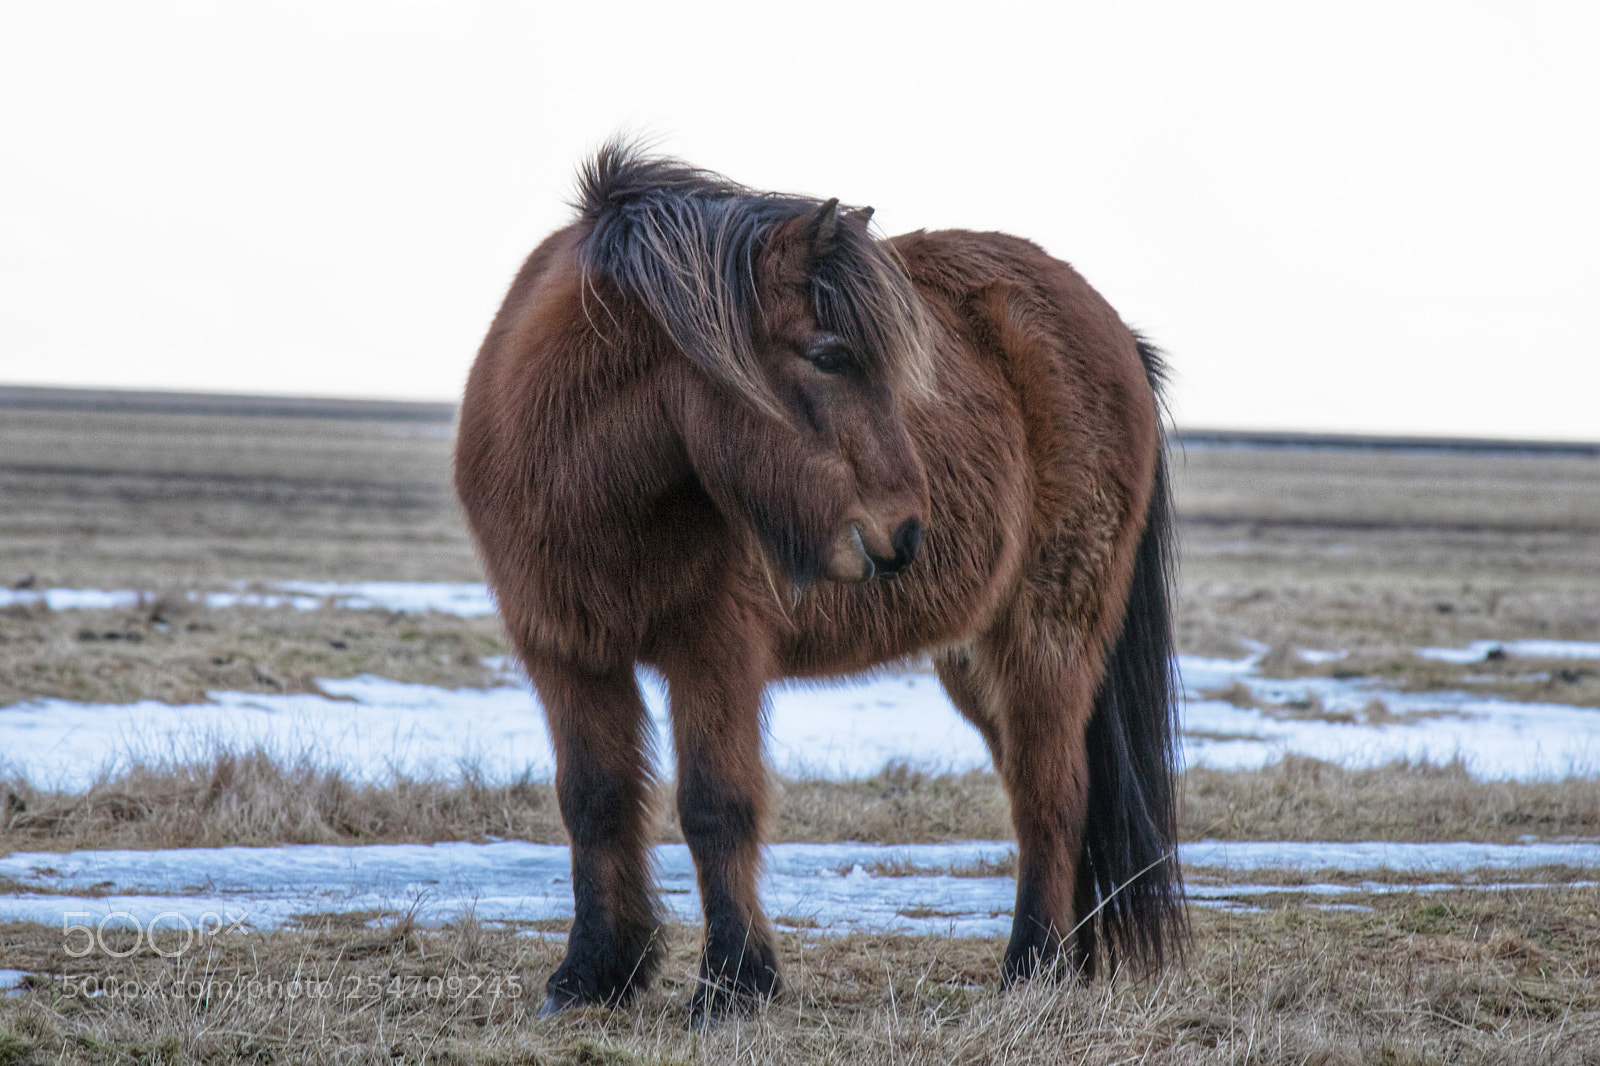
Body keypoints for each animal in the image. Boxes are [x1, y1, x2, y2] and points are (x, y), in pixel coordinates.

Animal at [454, 143, 1185, 1016]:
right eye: (830, 355)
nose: (906, 531)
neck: (588, 484)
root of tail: (1114, 332)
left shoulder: (716, 655)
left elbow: (716, 806)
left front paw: (733, 984)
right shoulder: (565, 654)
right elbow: (594, 802)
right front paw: (595, 973)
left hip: (1045, 636)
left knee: (1053, 796)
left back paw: (1032, 964)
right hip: (974, 661)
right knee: (1034, 790)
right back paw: (1061, 962)